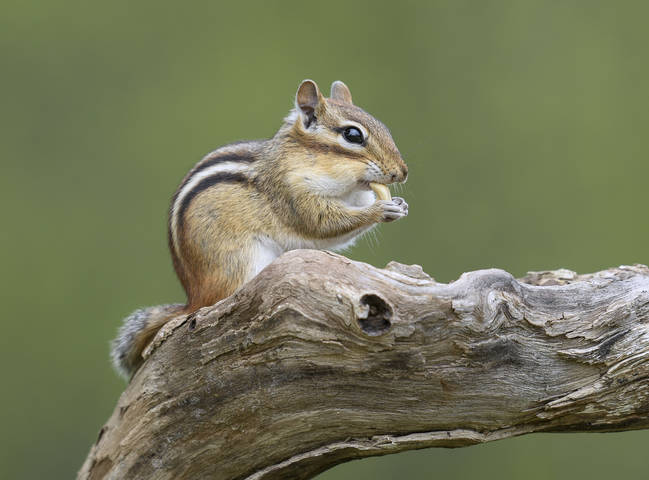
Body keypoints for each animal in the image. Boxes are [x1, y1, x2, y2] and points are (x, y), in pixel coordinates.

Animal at [111, 79, 409, 378]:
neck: (307, 158)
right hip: (241, 262)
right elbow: (321, 223)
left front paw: (399, 204)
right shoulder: (291, 194)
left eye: (384, 127)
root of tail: (194, 298)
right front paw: (380, 210)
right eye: (352, 135)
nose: (403, 172)